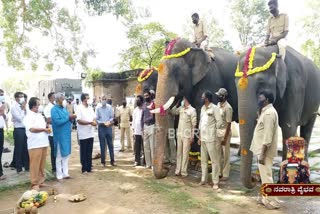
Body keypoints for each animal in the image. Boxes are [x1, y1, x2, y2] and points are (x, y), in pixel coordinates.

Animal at [151, 38, 239, 179]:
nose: (166, 168)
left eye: (176, 71)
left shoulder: (210, 80)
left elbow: (199, 114)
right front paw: (192, 163)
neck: (193, 48)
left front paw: (199, 166)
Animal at [235, 45, 320, 189]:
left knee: (307, 129)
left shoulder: (295, 87)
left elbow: (288, 128)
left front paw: (284, 182)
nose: (254, 179)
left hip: (314, 105)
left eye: (261, 83)